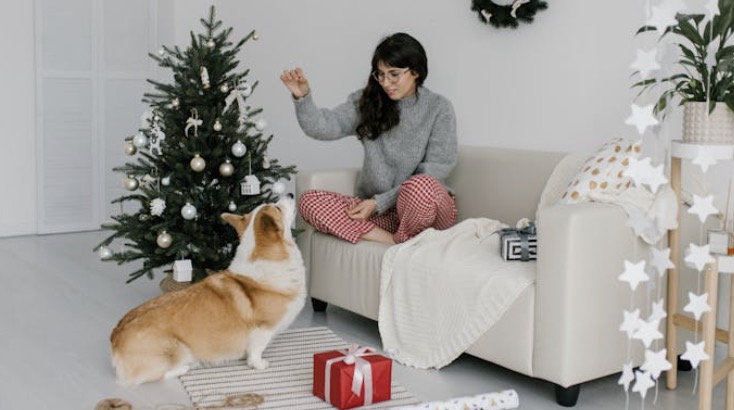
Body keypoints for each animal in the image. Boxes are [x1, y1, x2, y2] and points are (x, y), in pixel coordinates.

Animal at [109, 197, 304, 386]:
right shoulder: (263, 329)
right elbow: (256, 351)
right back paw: (187, 367)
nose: (291, 195)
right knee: (157, 374)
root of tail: (115, 340)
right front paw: (259, 364)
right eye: (277, 208)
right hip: (177, 349)